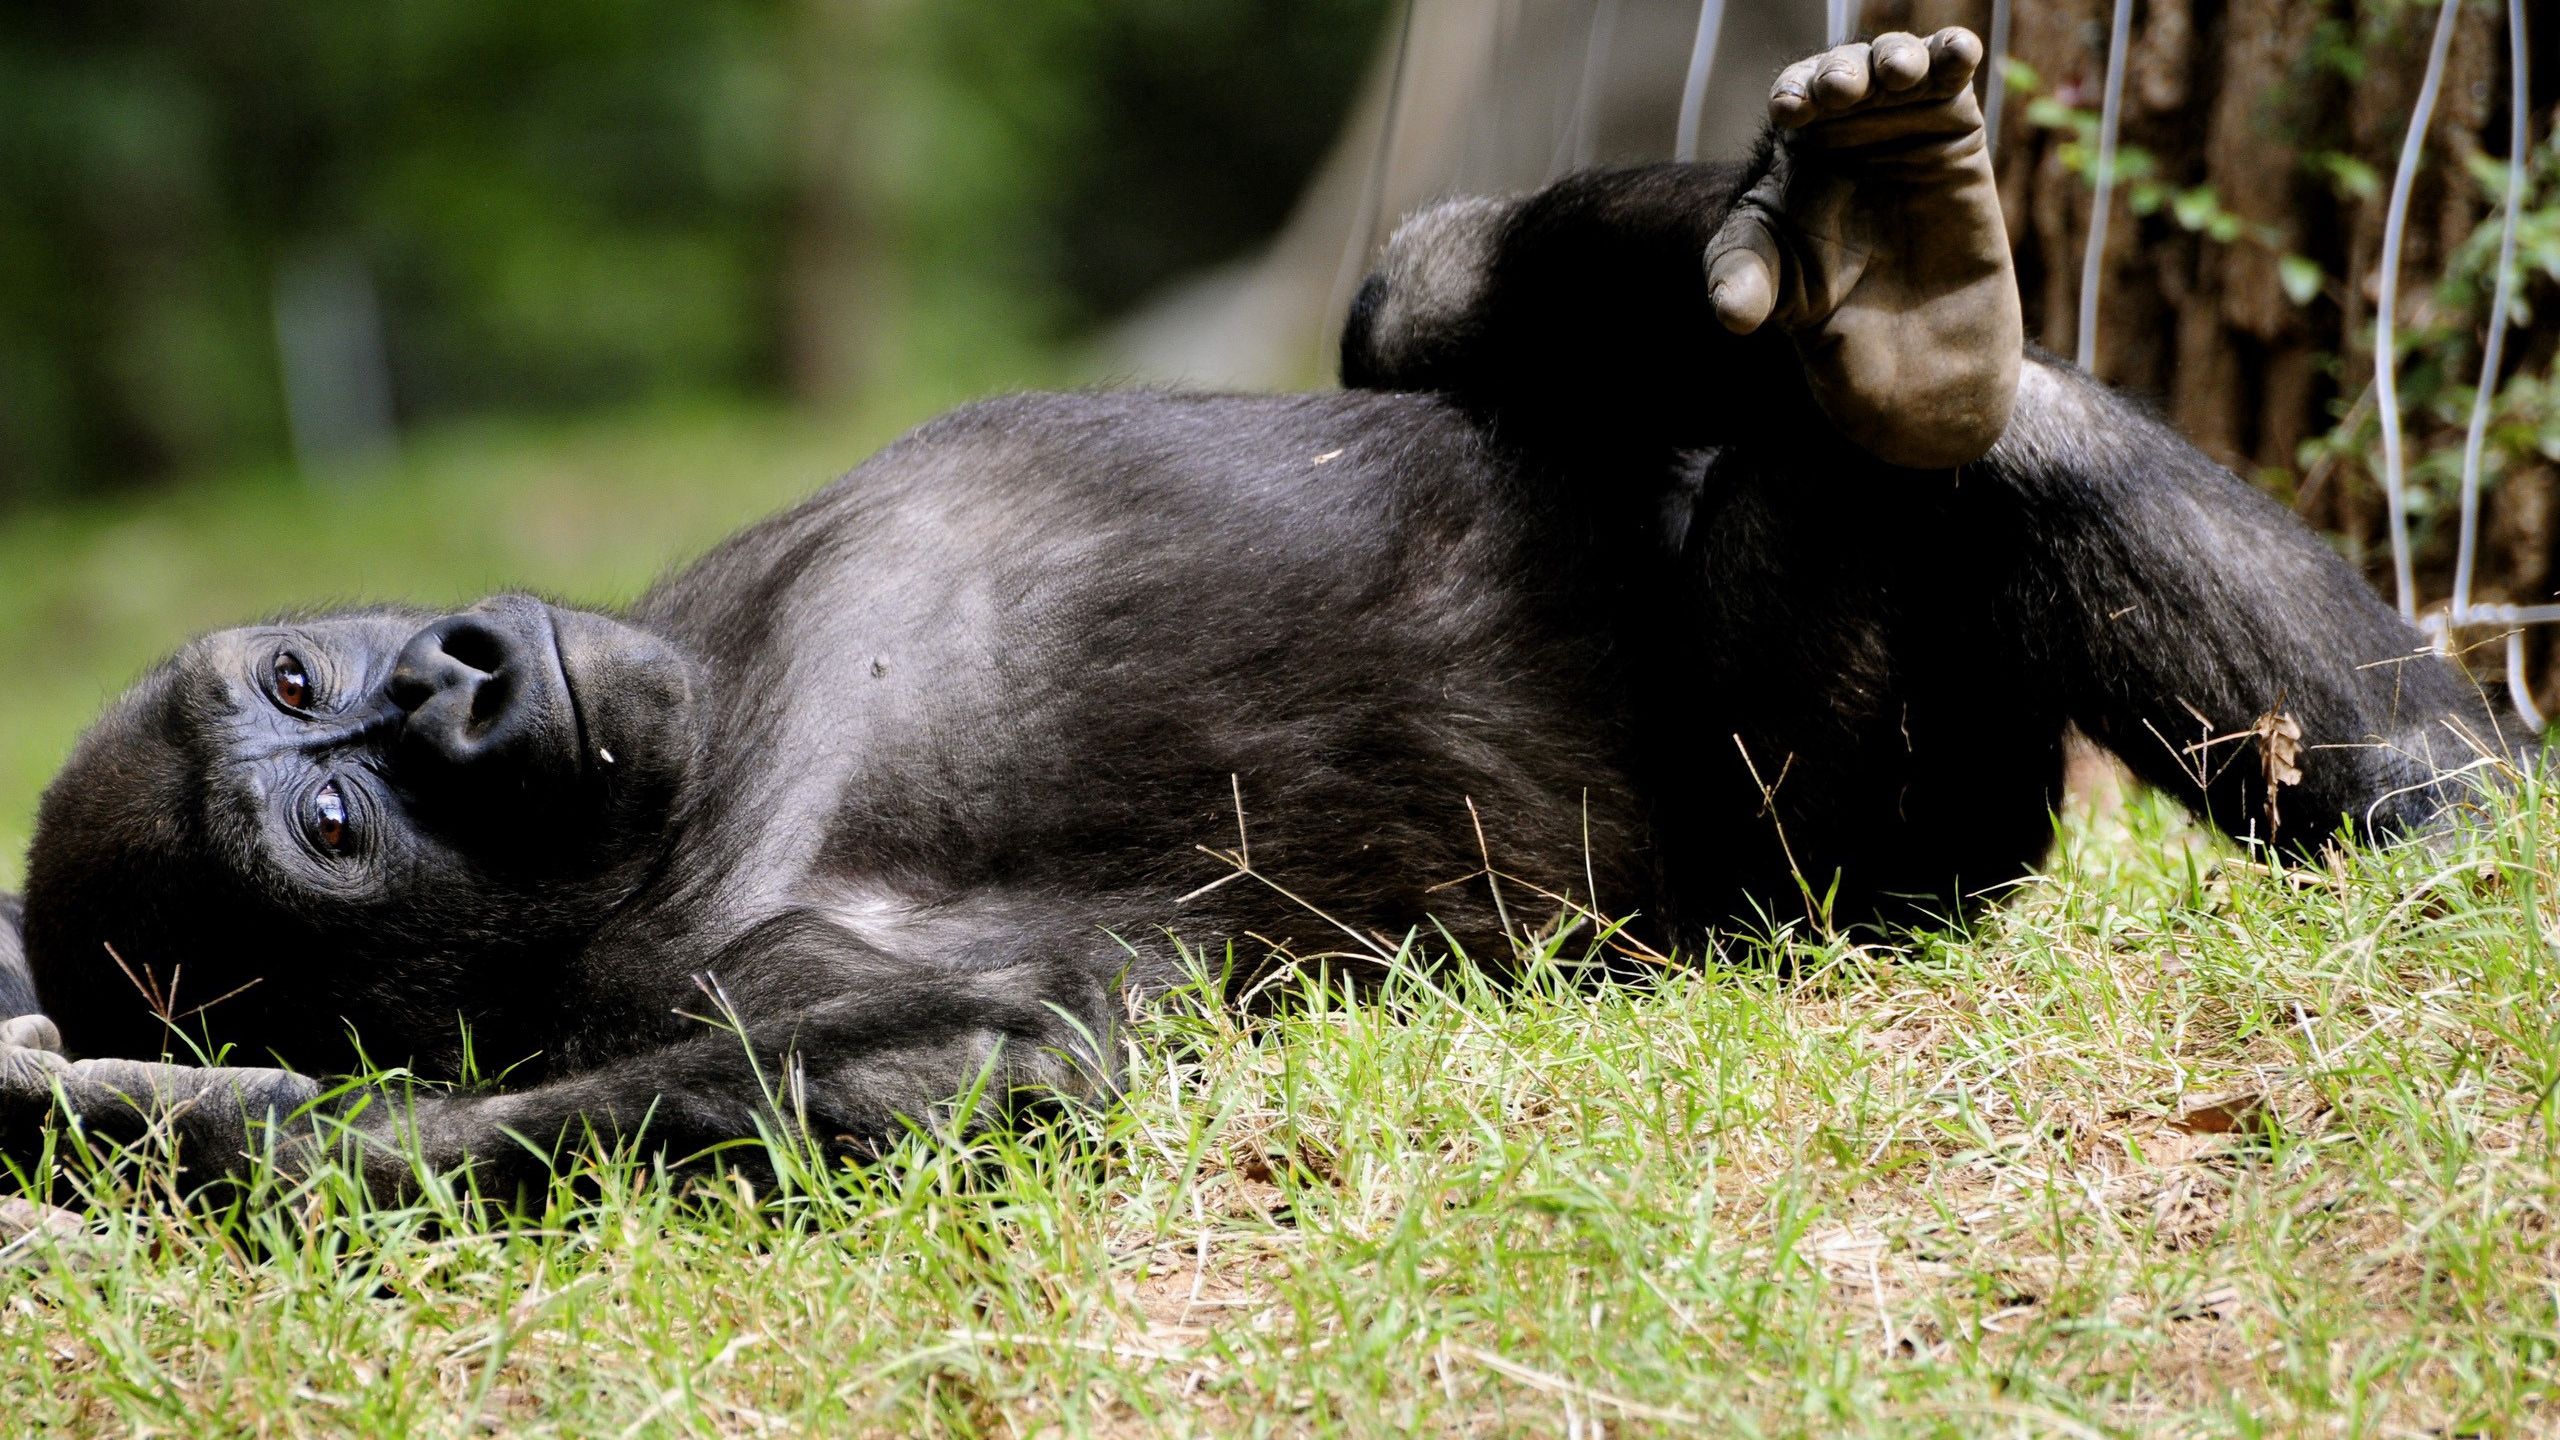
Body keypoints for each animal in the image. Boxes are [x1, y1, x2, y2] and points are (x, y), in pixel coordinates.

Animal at [0, 33, 2519, 1194]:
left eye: (317, 675)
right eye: (331, 831)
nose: (450, 687)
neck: (691, 743)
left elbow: (1415, 328)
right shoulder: (717, 961)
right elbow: (992, 1046)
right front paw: (235, 1132)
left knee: (1897, 415)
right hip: (1865, 870)